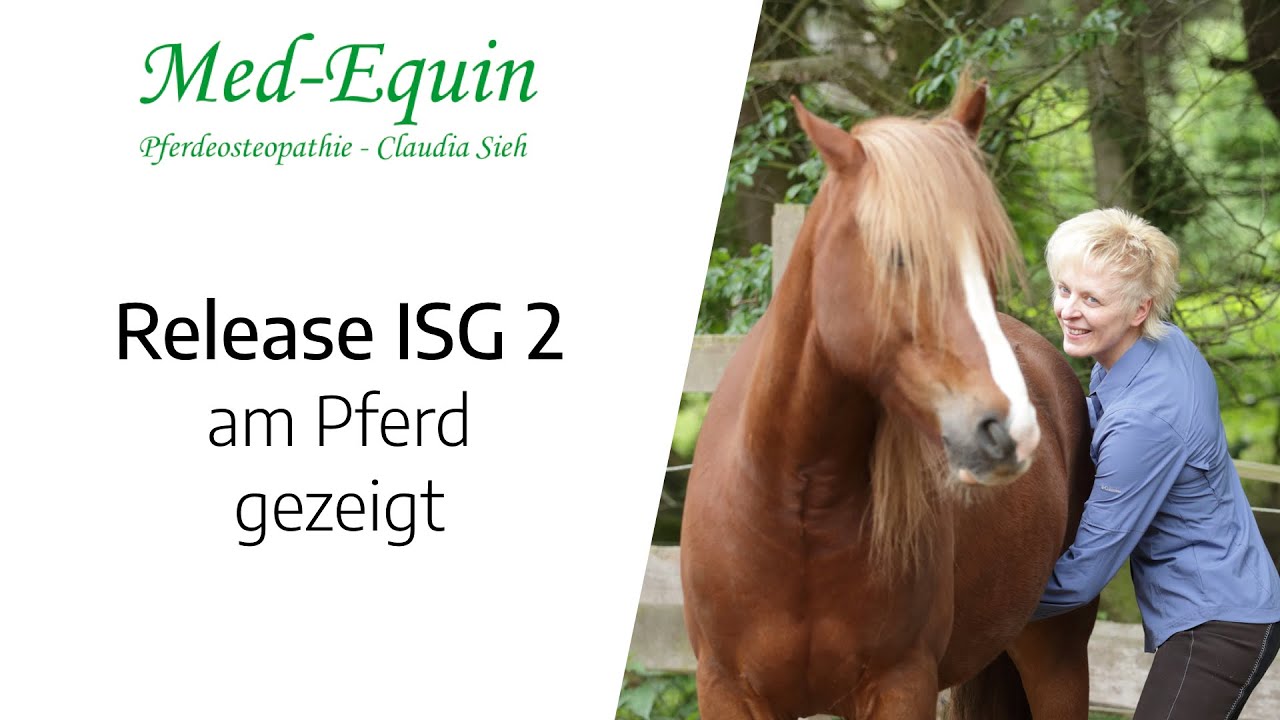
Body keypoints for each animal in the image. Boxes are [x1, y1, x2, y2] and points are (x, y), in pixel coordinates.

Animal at [679, 79, 1098, 720]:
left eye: (986, 258)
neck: (794, 504)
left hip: (1057, 659)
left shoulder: (902, 685)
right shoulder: (725, 689)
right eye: (900, 254)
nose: (1011, 430)